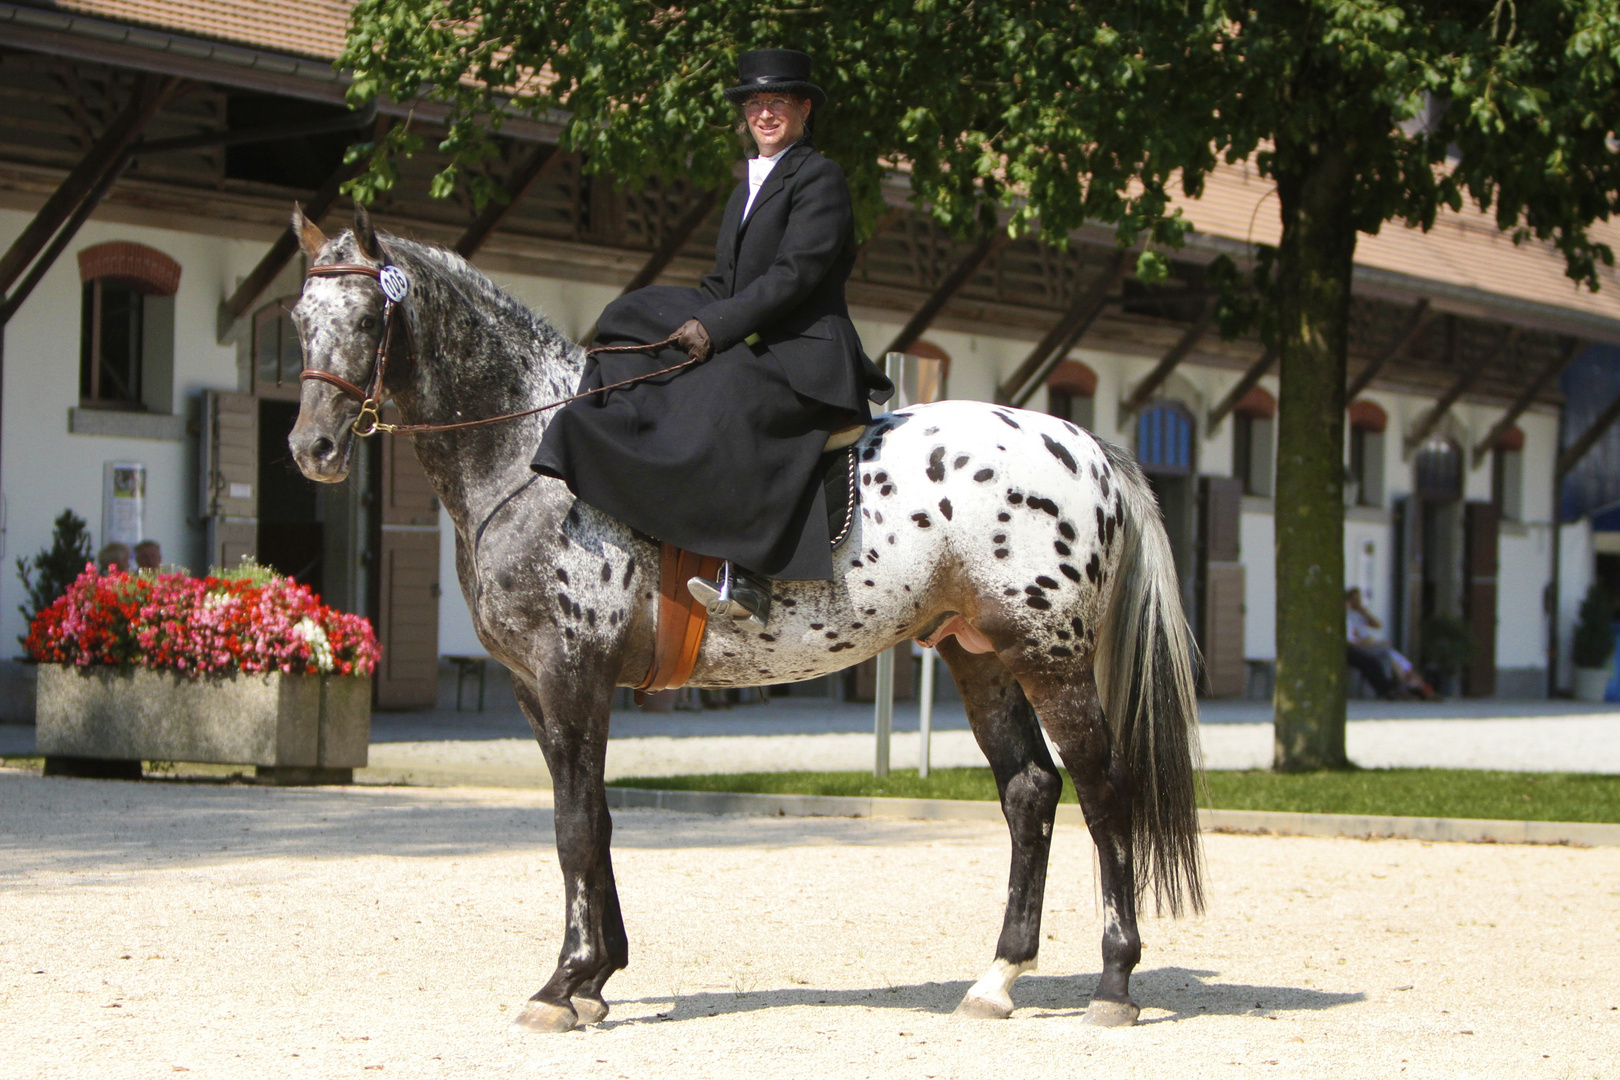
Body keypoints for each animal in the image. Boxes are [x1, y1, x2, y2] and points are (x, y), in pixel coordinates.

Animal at [288, 207, 1205, 1036]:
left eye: (367, 318)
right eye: (298, 321)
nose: (311, 451)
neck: (535, 458)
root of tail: (1086, 446)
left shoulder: (571, 673)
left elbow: (575, 827)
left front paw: (565, 982)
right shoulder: (533, 688)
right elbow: (594, 819)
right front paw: (598, 978)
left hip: (1048, 655)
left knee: (1103, 791)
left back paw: (1115, 982)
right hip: (977, 654)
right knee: (1030, 791)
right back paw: (997, 979)